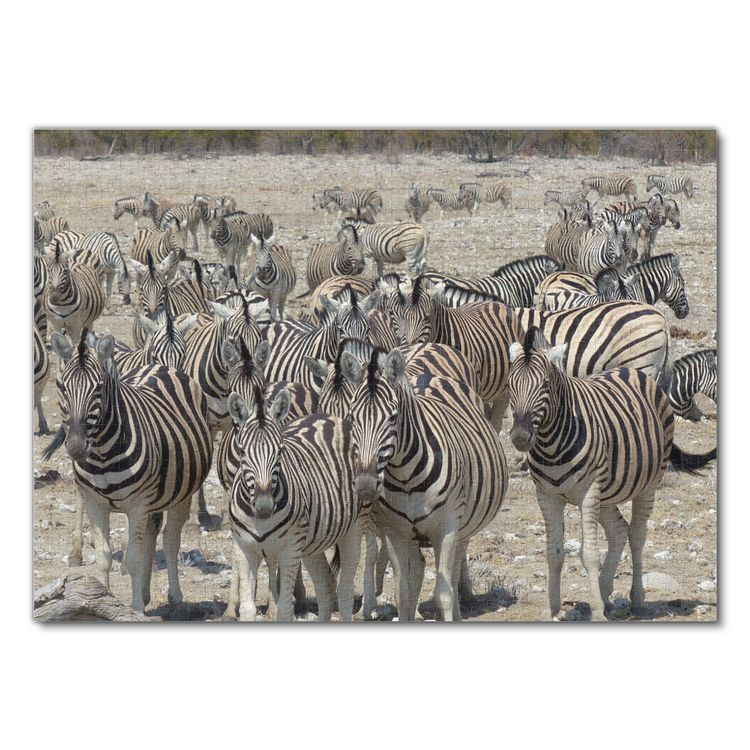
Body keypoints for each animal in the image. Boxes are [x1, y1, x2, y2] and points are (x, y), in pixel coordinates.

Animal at [44, 330, 213, 612]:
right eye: (62, 387)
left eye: (98, 388)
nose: (76, 447)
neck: (103, 453)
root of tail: (159, 366)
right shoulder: (95, 503)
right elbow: (104, 556)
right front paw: (103, 601)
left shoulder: (138, 504)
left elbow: (132, 558)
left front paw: (135, 610)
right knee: (151, 535)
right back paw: (145, 594)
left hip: (181, 492)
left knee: (170, 540)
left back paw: (174, 598)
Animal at [227, 387, 365, 622]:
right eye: (243, 452)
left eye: (280, 450)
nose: (264, 507)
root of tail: (331, 417)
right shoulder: (244, 550)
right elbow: (247, 609)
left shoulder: (290, 550)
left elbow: (284, 608)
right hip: (312, 543)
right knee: (325, 586)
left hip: (353, 529)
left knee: (345, 590)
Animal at [337, 347, 508, 621]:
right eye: (353, 417)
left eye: (393, 417)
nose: (365, 485)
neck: (406, 477)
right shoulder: (396, 533)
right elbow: (403, 592)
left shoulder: (447, 528)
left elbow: (444, 593)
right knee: (419, 568)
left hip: (462, 526)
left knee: (455, 568)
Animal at [507, 326, 716, 621]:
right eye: (510, 385)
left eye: (545, 385)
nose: (520, 437)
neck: (551, 444)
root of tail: (632, 371)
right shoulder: (547, 496)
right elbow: (554, 552)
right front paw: (552, 609)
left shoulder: (587, 493)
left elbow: (589, 554)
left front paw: (596, 612)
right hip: (607, 491)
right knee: (619, 530)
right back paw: (605, 592)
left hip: (647, 484)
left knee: (637, 534)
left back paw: (636, 599)